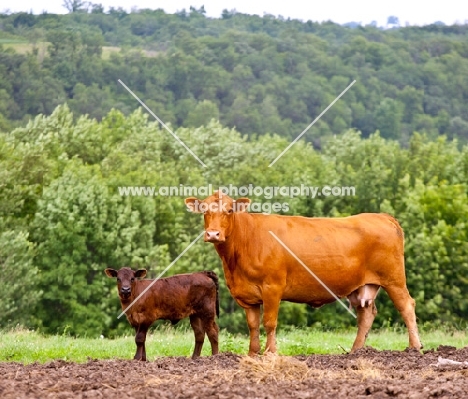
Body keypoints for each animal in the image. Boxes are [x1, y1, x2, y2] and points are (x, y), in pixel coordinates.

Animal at [185, 193, 422, 356]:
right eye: (204, 211)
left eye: (229, 211)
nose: (213, 234)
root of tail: (381, 216)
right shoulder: (246, 295)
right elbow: (253, 325)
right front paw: (252, 354)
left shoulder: (272, 287)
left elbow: (269, 322)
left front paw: (271, 353)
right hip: (360, 286)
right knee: (367, 314)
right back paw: (355, 351)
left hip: (394, 279)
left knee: (406, 306)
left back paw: (414, 348)